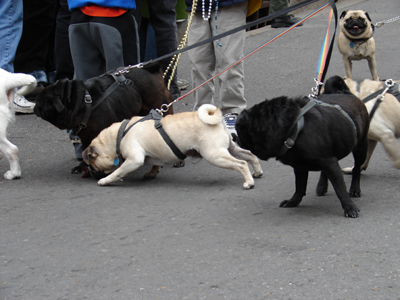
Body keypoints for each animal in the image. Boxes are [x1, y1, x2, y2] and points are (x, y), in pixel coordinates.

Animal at [34, 63, 172, 176]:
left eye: (40, 104)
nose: (34, 107)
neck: (84, 101)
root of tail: (149, 68)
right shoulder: (85, 137)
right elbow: (85, 150)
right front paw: (82, 166)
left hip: (163, 106)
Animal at [236, 76, 370, 217]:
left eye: (240, 130)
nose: (235, 137)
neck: (292, 128)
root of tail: (346, 93)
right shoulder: (300, 167)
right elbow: (299, 186)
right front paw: (293, 201)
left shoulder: (329, 162)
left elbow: (340, 188)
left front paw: (349, 207)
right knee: (325, 172)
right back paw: (322, 186)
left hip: (361, 148)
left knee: (356, 169)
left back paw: (354, 189)